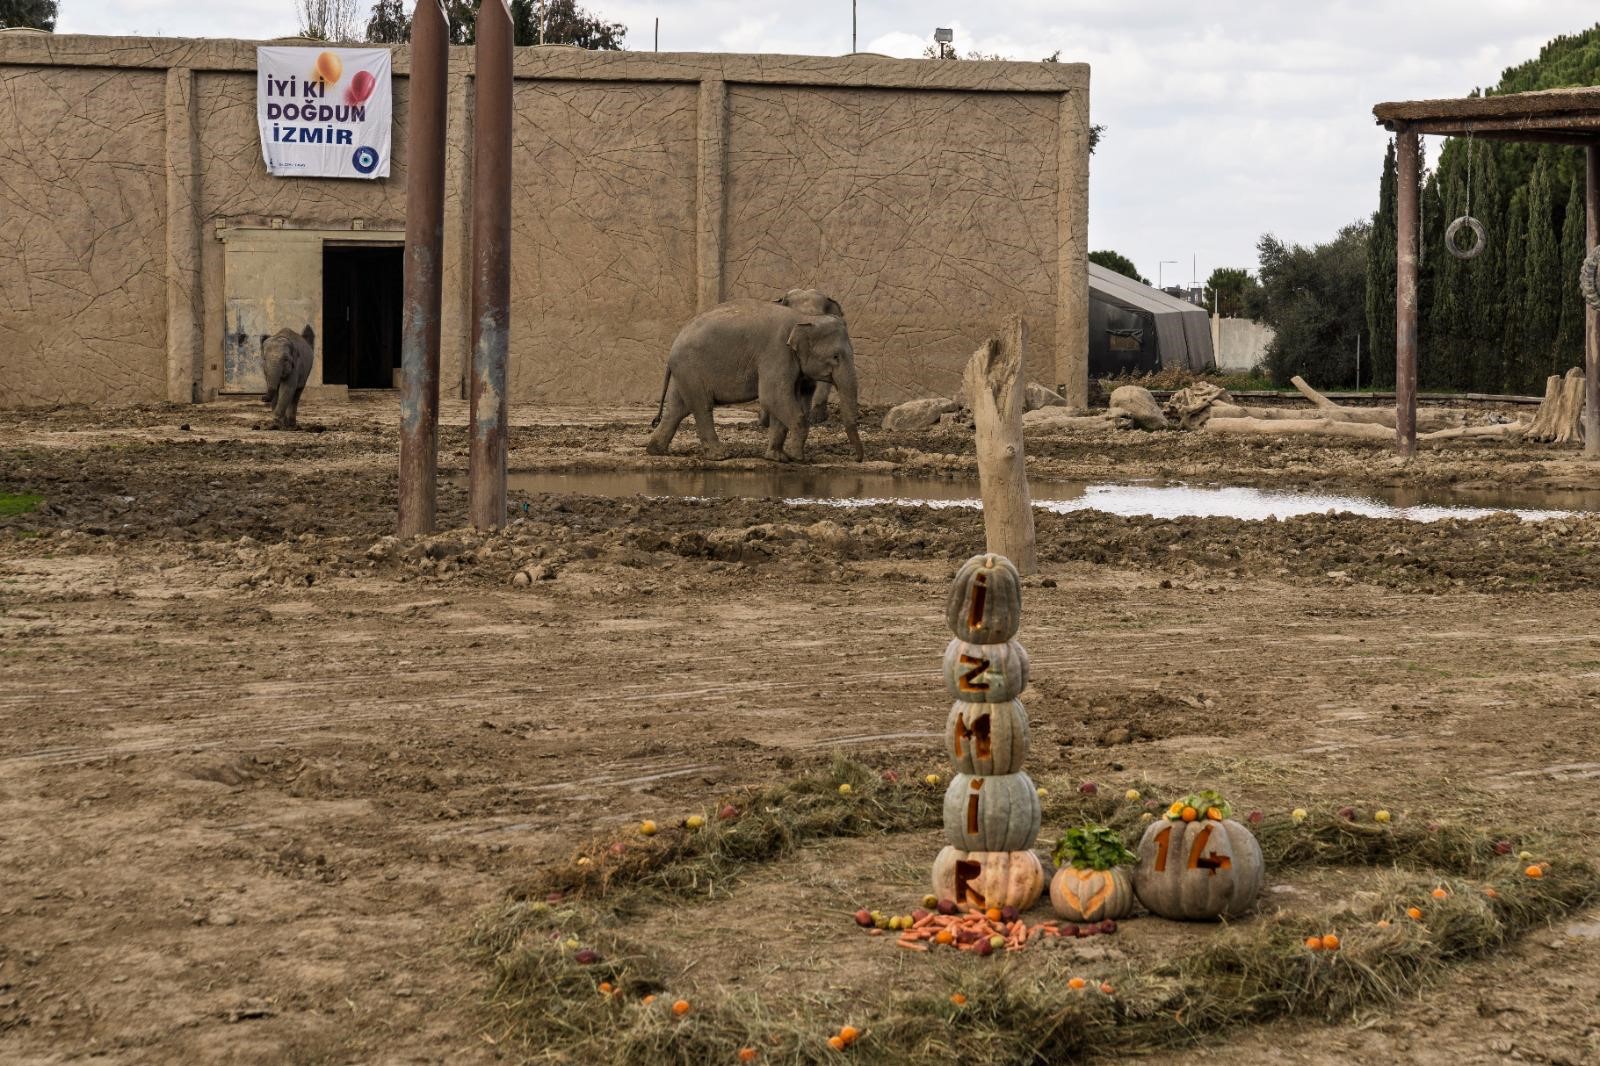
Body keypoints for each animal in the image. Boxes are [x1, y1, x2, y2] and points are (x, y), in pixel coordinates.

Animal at [643, 300, 864, 464]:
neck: (804, 319)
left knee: (678, 408)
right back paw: (720, 456)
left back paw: (656, 450)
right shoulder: (776, 353)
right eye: (835, 357)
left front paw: (778, 458)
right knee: (702, 406)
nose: (858, 459)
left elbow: (782, 402)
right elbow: (773, 397)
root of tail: (673, 345)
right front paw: (797, 459)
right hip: (691, 369)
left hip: (684, 373)